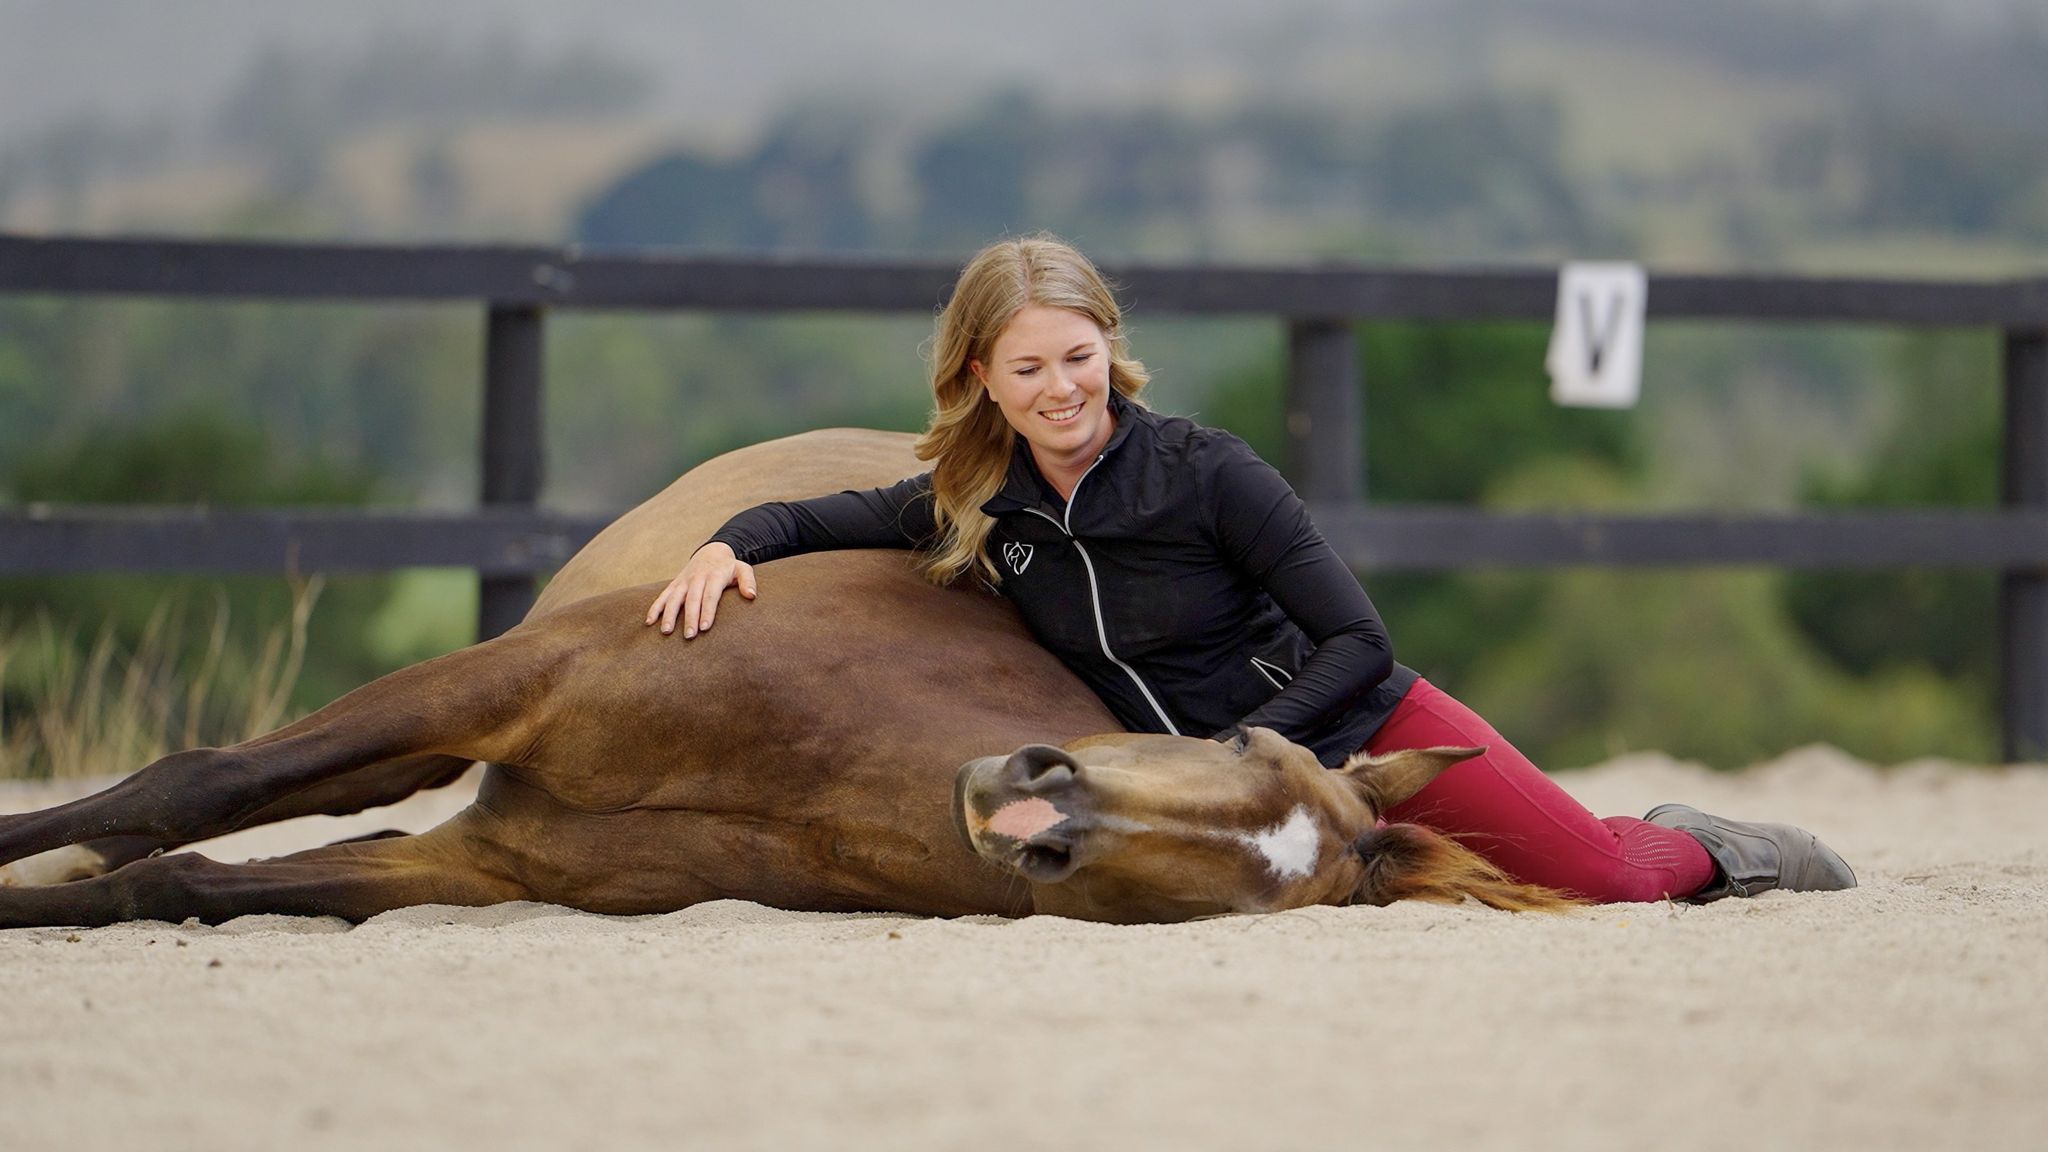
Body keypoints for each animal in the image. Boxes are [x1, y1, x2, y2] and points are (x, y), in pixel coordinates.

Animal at [0, 430, 1564, 927]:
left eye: (1244, 890)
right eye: (1243, 747)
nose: (1035, 792)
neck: (801, 763)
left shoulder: (490, 865)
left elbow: (187, 882)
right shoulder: (511, 679)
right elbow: (186, 790)